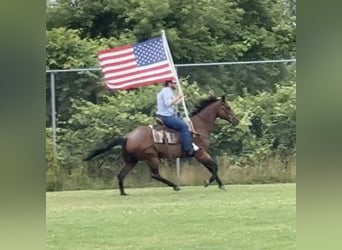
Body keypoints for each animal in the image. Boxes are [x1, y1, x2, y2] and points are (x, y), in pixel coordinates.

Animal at [83, 95, 238, 195]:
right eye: (228, 107)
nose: (236, 120)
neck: (197, 127)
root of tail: (127, 137)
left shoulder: (200, 154)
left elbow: (212, 167)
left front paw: (221, 185)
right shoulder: (200, 153)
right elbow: (214, 167)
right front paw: (207, 182)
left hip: (132, 161)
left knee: (121, 175)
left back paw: (123, 193)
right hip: (152, 158)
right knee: (155, 175)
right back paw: (175, 186)